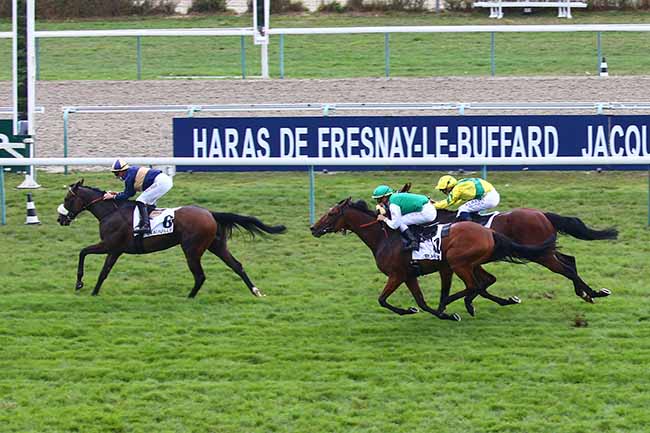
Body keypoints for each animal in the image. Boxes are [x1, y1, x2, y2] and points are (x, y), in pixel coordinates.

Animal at [57, 179, 284, 296]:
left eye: (67, 199)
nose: (61, 219)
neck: (111, 211)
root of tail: (210, 213)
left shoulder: (111, 246)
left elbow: (86, 255)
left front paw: (82, 285)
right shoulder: (115, 249)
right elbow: (101, 269)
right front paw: (92, 290)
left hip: (192, 249)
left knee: (200, 275)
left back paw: (190, 297)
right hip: (216, 245)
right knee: (236, 265)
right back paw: (255, 291)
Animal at [308, 197, 552, 318]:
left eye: (331, 213)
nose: (313, 228)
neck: (384, 237)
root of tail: (488, 231)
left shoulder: (397, 275)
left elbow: (382, 300)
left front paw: (438, 312)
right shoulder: (409, 275)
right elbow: (421, 302)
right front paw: (421, 311)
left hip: (459, 263)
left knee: (474, 286)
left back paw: (455, 302)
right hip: (469, 263)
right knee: (483, 283)